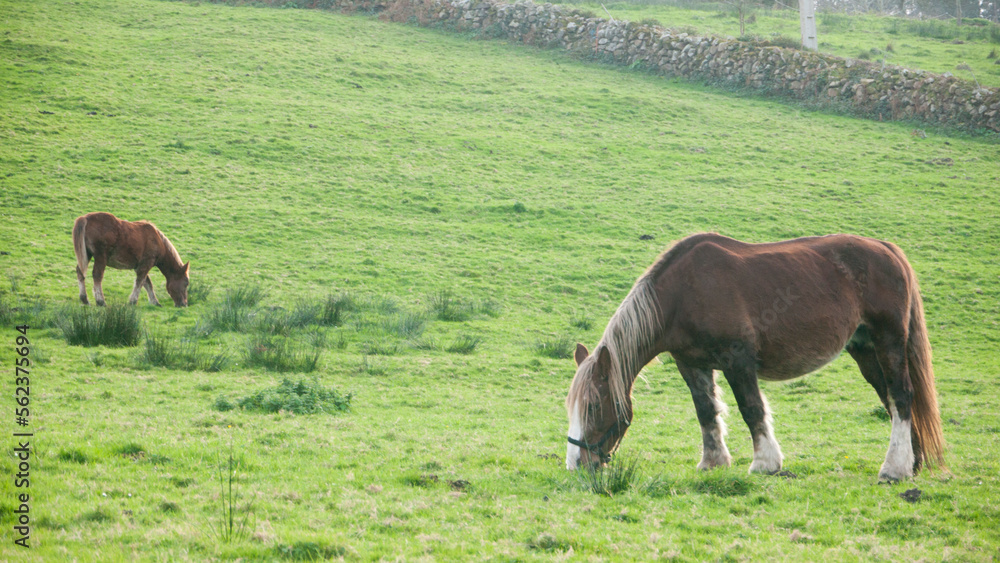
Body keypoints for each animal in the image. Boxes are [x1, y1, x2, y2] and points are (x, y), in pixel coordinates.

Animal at [565, 233, 944, 482]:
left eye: (594, 407)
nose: (576, 464)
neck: (682, 294)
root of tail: (888, 250)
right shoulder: (692, 363)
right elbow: (706, 412)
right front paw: (713, 463)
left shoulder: (738, 361)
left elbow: (752, 409)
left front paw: (765, 463)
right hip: (865, 351)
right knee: (891, 400)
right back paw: (911, 463)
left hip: (889, 341)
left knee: (901, 396)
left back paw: (894, 470)